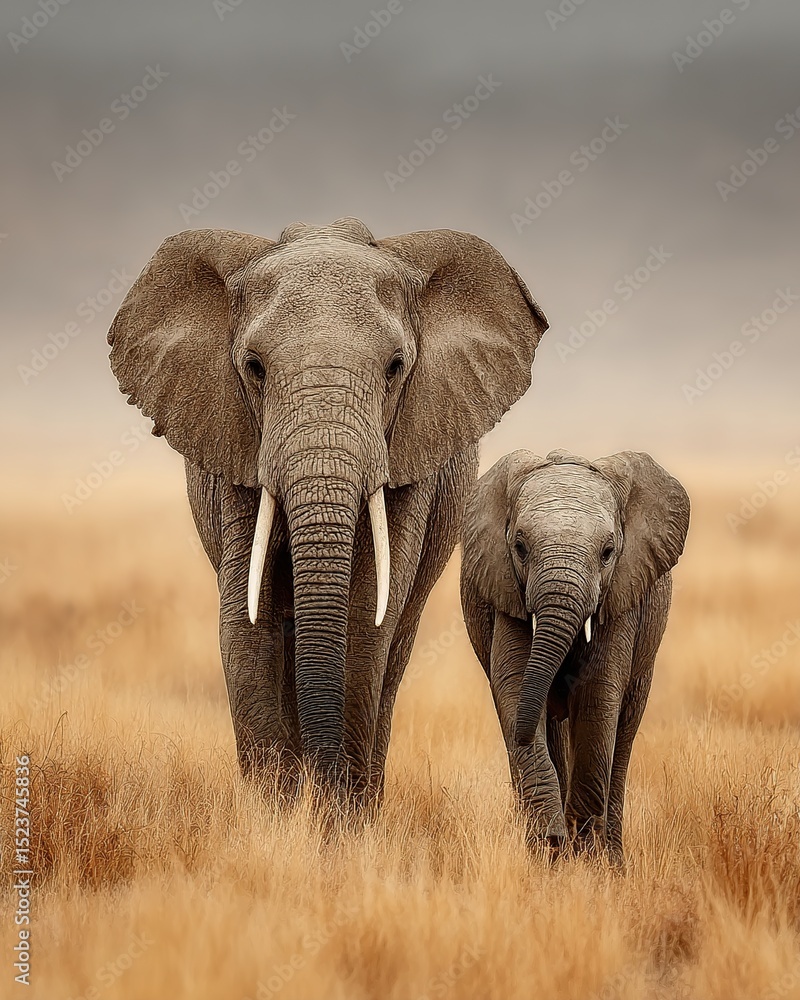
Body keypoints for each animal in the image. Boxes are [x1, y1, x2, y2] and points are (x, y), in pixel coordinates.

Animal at [107, 217, 548, 806]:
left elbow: (366, 620)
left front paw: (339, 817)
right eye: (254, 369)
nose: (323, 779)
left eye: (395, 368)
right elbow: (247, 623)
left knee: (395, 647)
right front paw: (276, 814)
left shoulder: (408, 454)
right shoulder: (238, 449)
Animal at [460, 448, 689, 863]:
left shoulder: (621, 594)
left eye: (608, 552)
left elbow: (598, 694)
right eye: (520, 547)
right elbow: (514, 685)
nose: (556, 841)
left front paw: (584, 855)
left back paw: (613, 861)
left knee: (624, 734)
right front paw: (549, 850)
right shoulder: (505, 589)